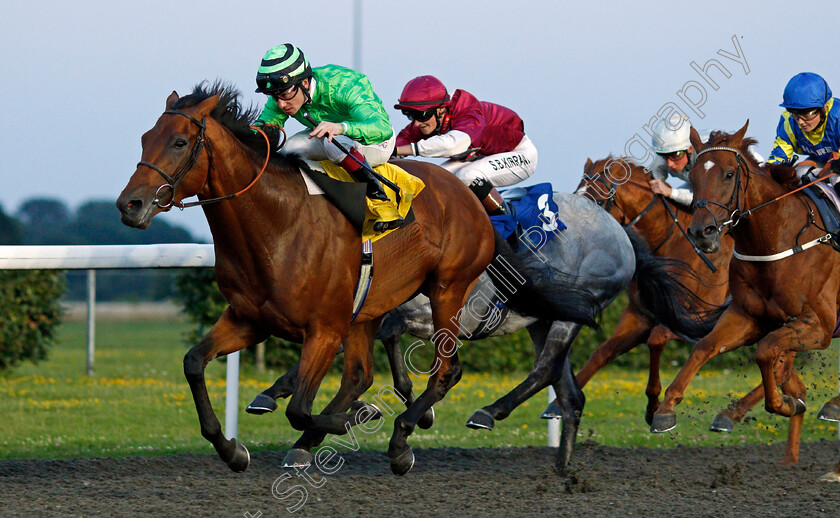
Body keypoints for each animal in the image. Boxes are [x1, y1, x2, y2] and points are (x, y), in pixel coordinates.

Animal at [118, 83, 600, 478]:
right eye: (144, 138)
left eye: (180, 141)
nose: (130, 205)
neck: (276, 223)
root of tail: (472, 197)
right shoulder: (249, 319)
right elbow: (194, 363)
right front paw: (232, 450)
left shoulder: (324, 328)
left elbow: (300, 409)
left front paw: (362, 417)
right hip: (369, 307)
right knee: (361, 374)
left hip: (447, 288)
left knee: (446, 369)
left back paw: (402, 438)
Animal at [576, 158, 732, 426]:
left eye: (596, 201)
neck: (670, 243)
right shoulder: (640, 316)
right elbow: (602, 352)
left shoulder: (698, 319)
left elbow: (656, 339)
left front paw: (655, 407)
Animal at [648, 121, 840, 480]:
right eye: (693, 176)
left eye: (727, 174)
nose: (703, 233)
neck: (777, 238)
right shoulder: (748, 317)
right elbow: (705, 347)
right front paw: (665, 410)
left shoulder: (819, 326)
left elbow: (766, 353)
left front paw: (783, 404)